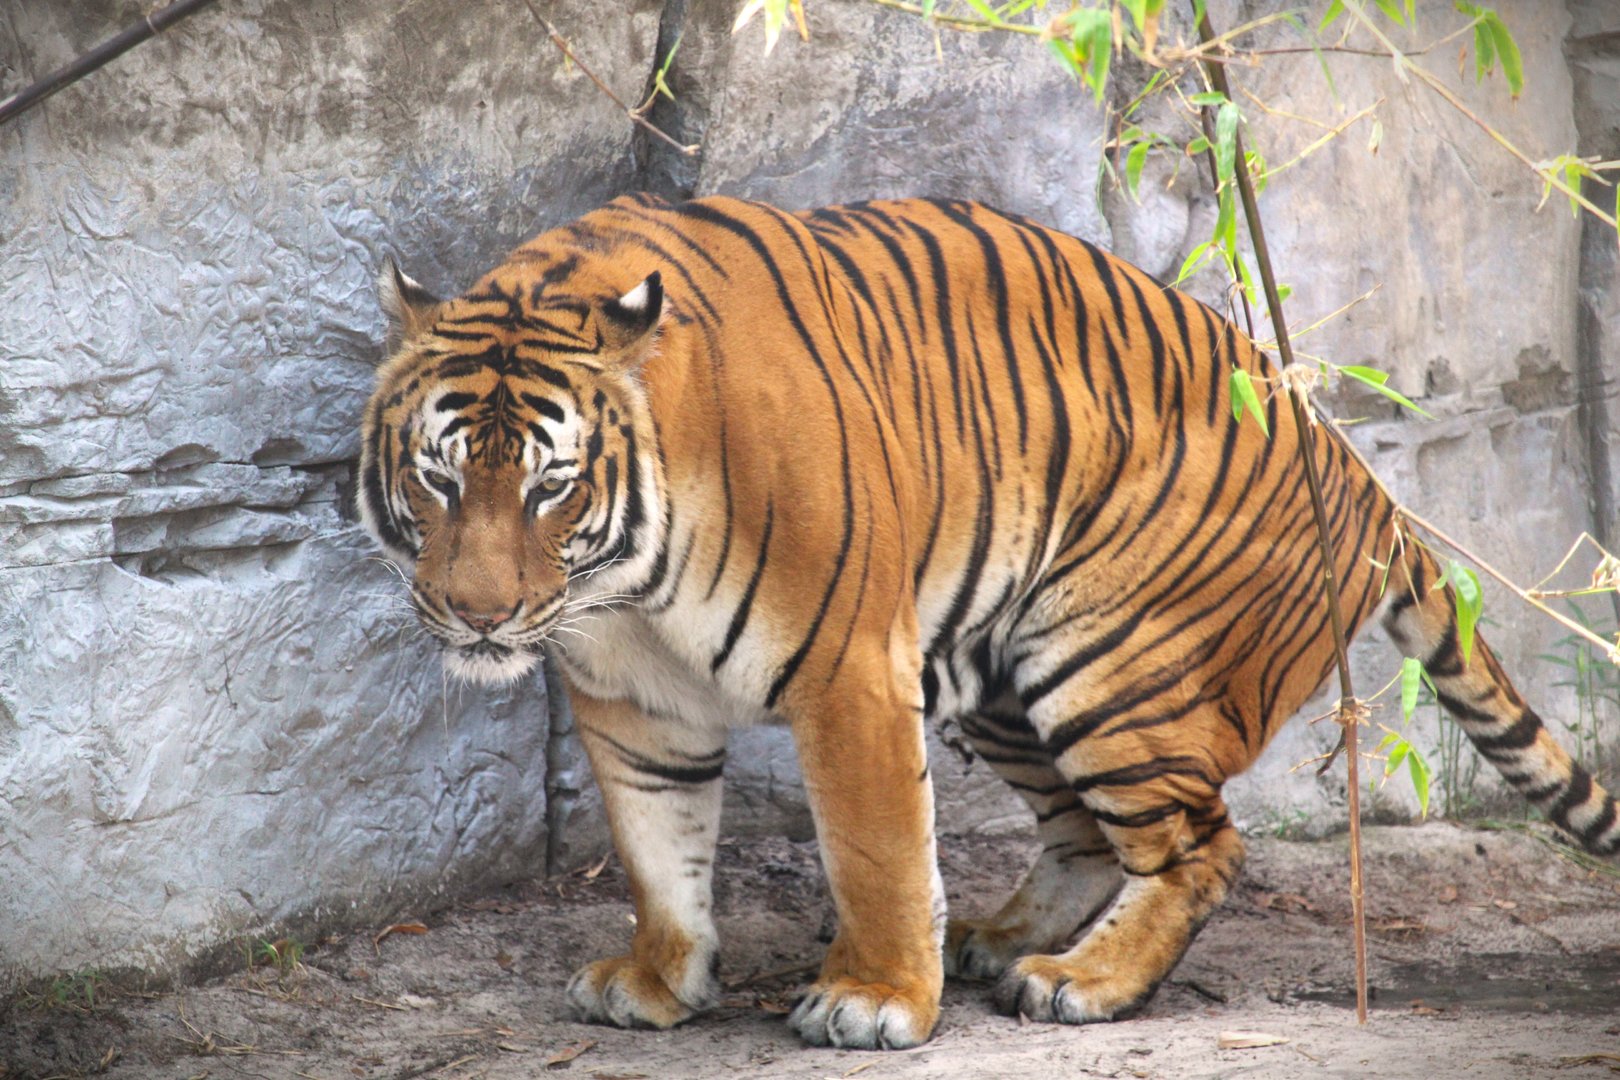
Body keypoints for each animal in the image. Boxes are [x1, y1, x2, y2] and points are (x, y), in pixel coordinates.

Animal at [358, 193, 1620, 1050]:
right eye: (438, 477)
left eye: (551, 487)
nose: (479, 614)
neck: (622, 581)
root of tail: (1365, 481)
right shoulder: (630, 698)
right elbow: (657, 849)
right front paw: (661, 979)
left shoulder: (848, 667)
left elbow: (874, 848)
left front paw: (873, 1000)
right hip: (1001, 673)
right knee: (1088, 834)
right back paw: (1004, 940)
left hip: (1111, 659)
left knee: (1202, 844)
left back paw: (1079, 982)